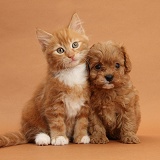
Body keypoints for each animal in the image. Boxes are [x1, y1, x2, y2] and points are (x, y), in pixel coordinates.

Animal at [0, 13, 90, 147]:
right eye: (60, 50)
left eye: (75, 44)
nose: (71, 55)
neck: (72, 73)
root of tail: (23, 130)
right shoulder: (52, 102)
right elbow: (57, 122)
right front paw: (59, 137)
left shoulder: (85, 103)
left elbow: (82, 121)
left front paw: (81, 136)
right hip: (29, 110)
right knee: (31, 134)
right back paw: (43, 138)